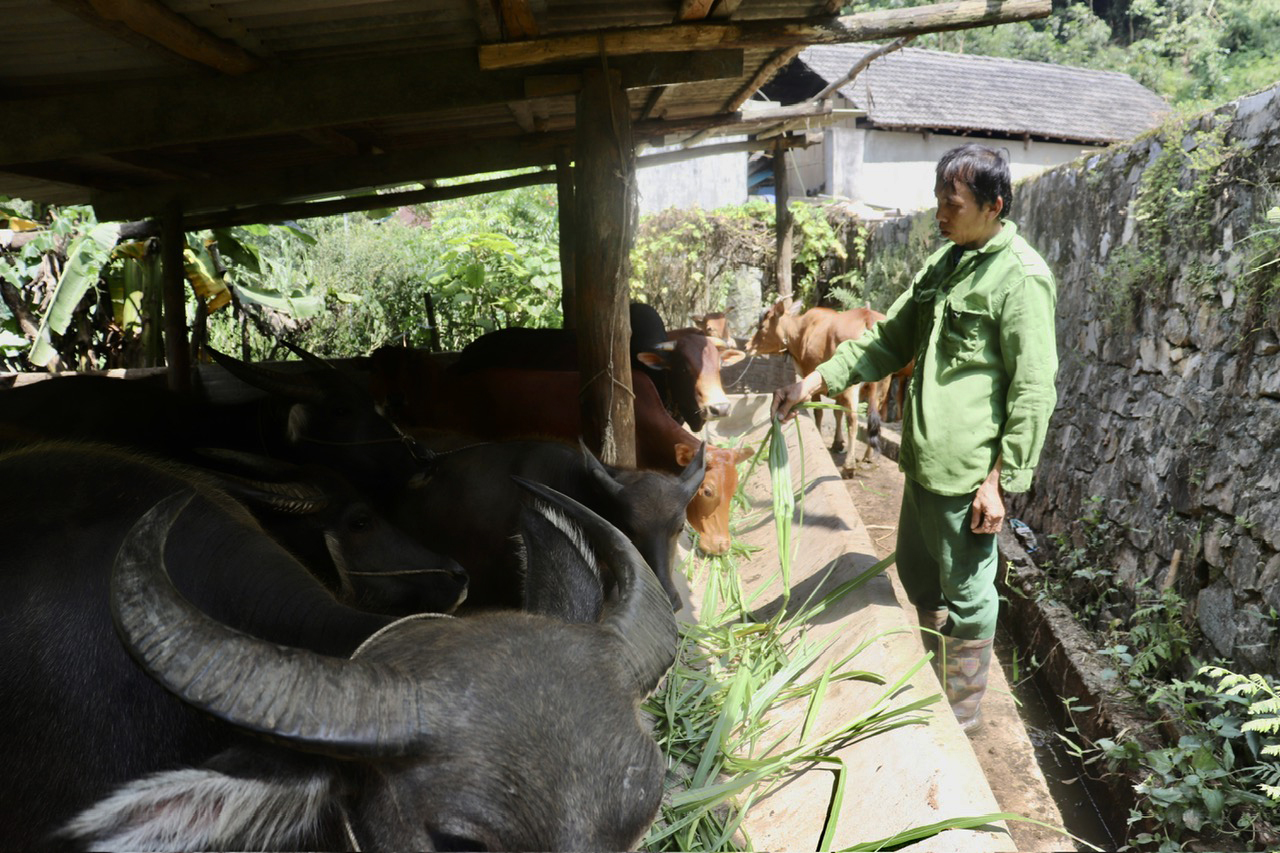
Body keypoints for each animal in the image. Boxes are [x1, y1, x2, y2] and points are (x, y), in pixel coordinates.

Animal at [747, 295, 890, 473]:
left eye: (762, 326)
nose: (747, 345)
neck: (801, 332)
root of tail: (867, 316)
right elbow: (837, 413)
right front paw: (837, 443)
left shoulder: (813, 379)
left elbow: (819, 412)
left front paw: (821, 436)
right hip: (881, 387)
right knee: (873, 418)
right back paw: (868, 457)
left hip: (852, 385)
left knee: (853, 420)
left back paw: (849, 466)